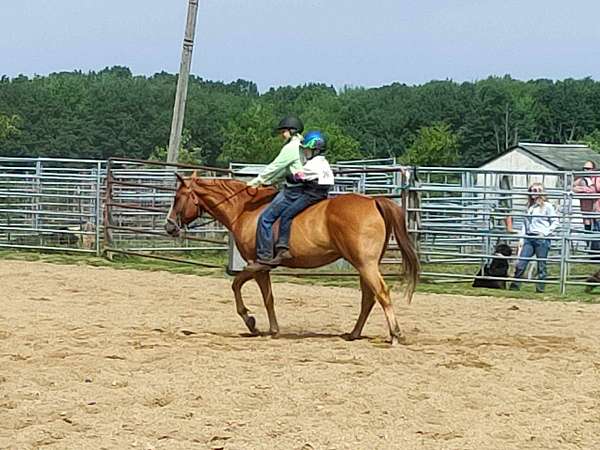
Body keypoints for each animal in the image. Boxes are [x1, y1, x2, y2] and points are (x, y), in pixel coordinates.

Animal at [164, 172, 418, 344]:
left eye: (177, 198)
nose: (169, 226)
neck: (246, 210)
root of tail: (373, 201)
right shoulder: (262, 268)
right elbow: (267, 297)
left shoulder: (257, 265)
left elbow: (241, 287)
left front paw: (254, 323)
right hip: (363, 265)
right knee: (368, 298)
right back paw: (354, 334)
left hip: (365, 264)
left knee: (381, 293)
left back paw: (395, 334)